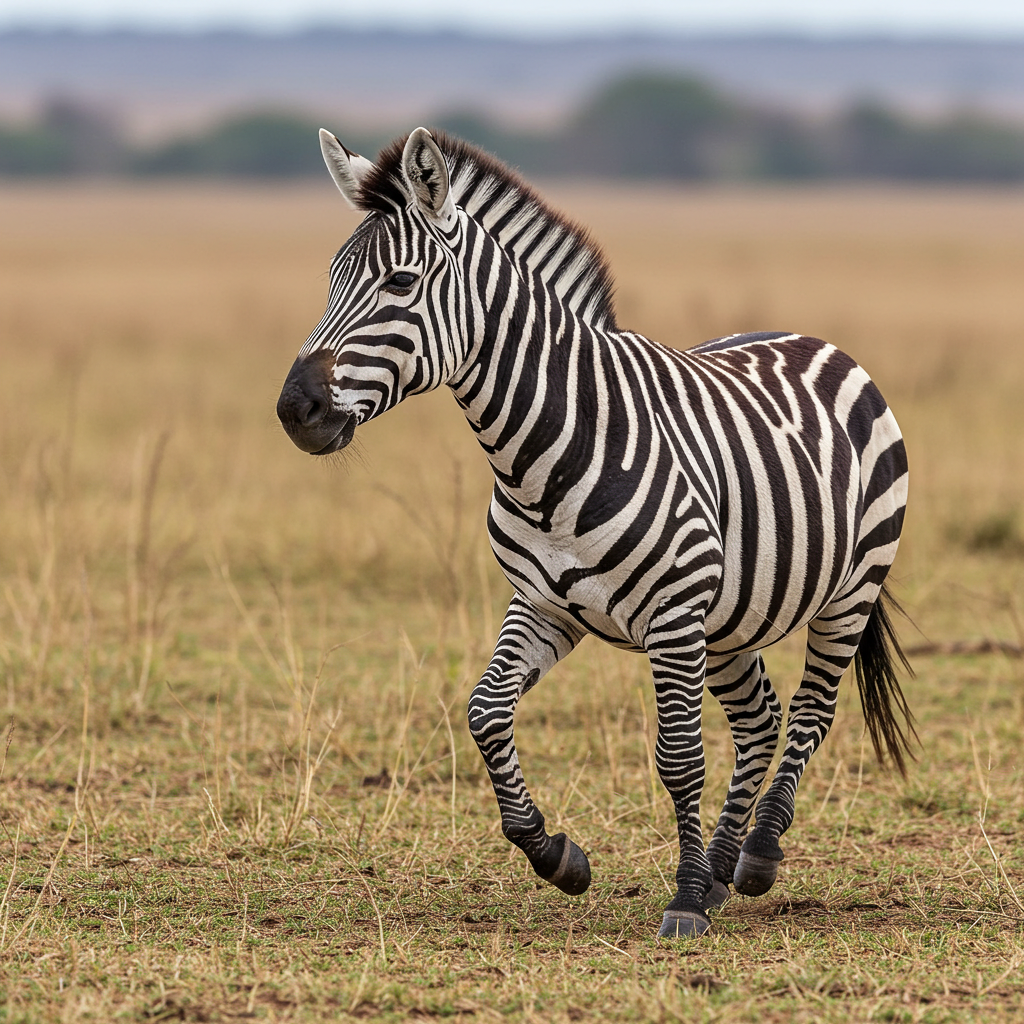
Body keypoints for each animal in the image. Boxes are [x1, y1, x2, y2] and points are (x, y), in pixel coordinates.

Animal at [276, 127, 914, 939]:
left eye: (400, 283)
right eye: (332, 279)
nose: (295, 409)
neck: (543, 451)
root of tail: (813, 339)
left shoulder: (672, 616)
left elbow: (678, 757)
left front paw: (682, 899)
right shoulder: (545, 605)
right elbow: (485, 713)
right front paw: (556, 856)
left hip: (849, 588)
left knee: (809, 711)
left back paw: (756, 855)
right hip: (729, 619)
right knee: (760, 721)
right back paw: (721, 866)